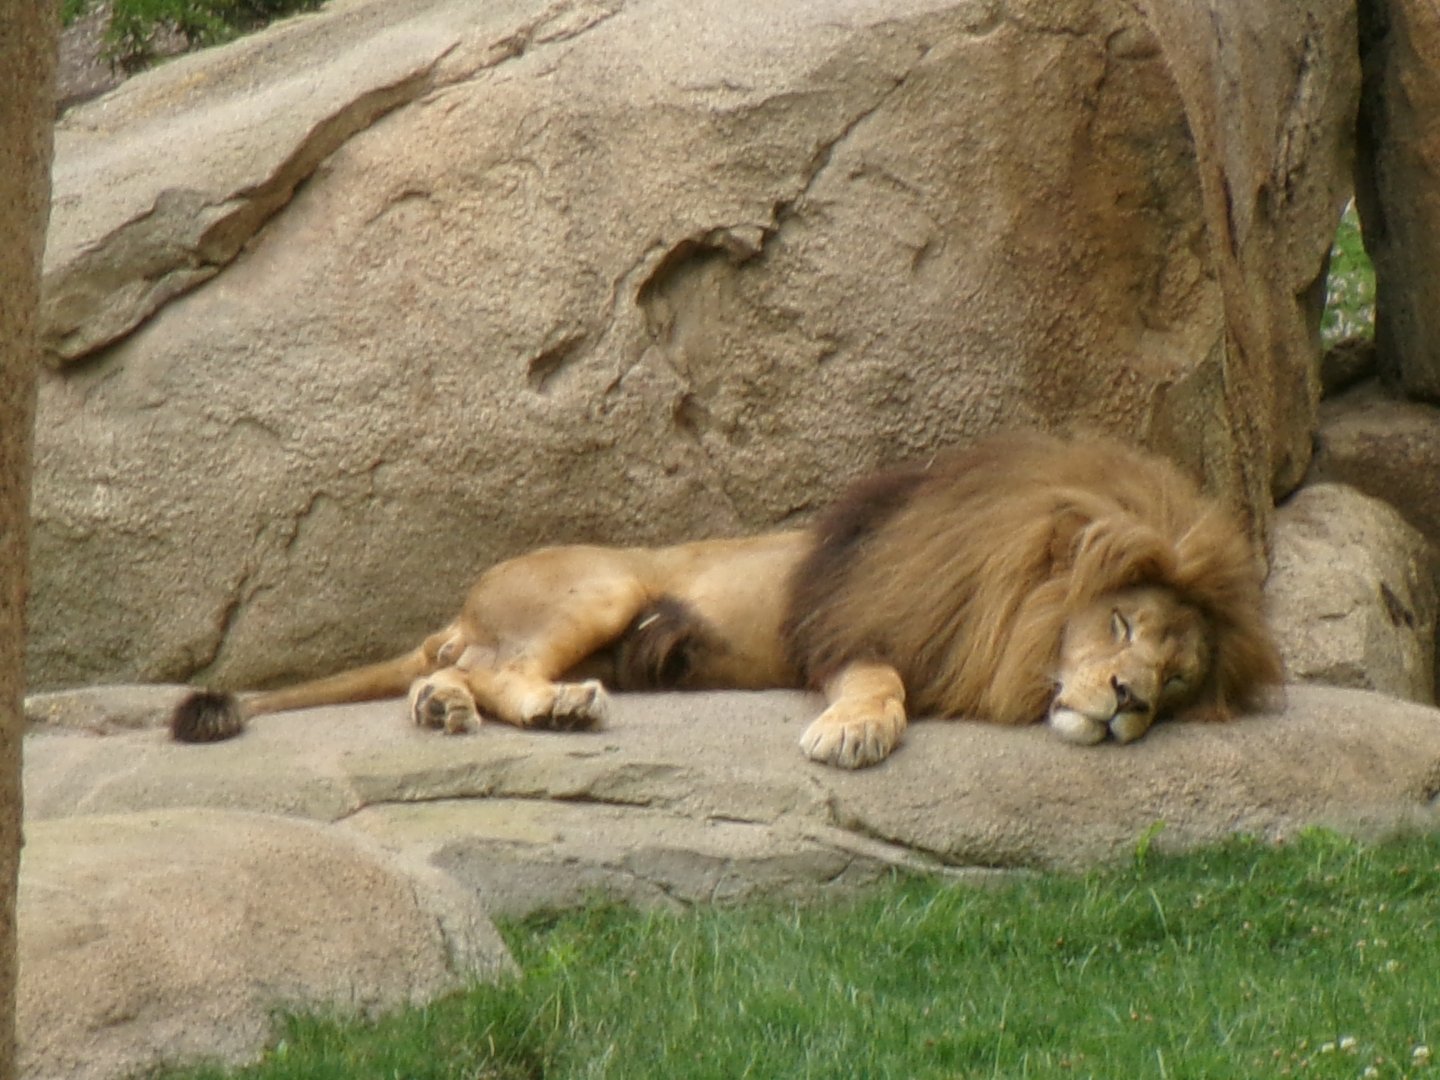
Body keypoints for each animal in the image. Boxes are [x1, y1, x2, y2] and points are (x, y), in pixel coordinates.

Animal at [171, 431, 1283, 767]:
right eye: (1124, 624)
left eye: (1178, 680)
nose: (1130, 701)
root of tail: (468, 597)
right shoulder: (850, 626)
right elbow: (881, 683)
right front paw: (855, 733)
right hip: (606, 581)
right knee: (495, 667)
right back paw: (557, 705)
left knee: (456, 674)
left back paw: (447, 708)